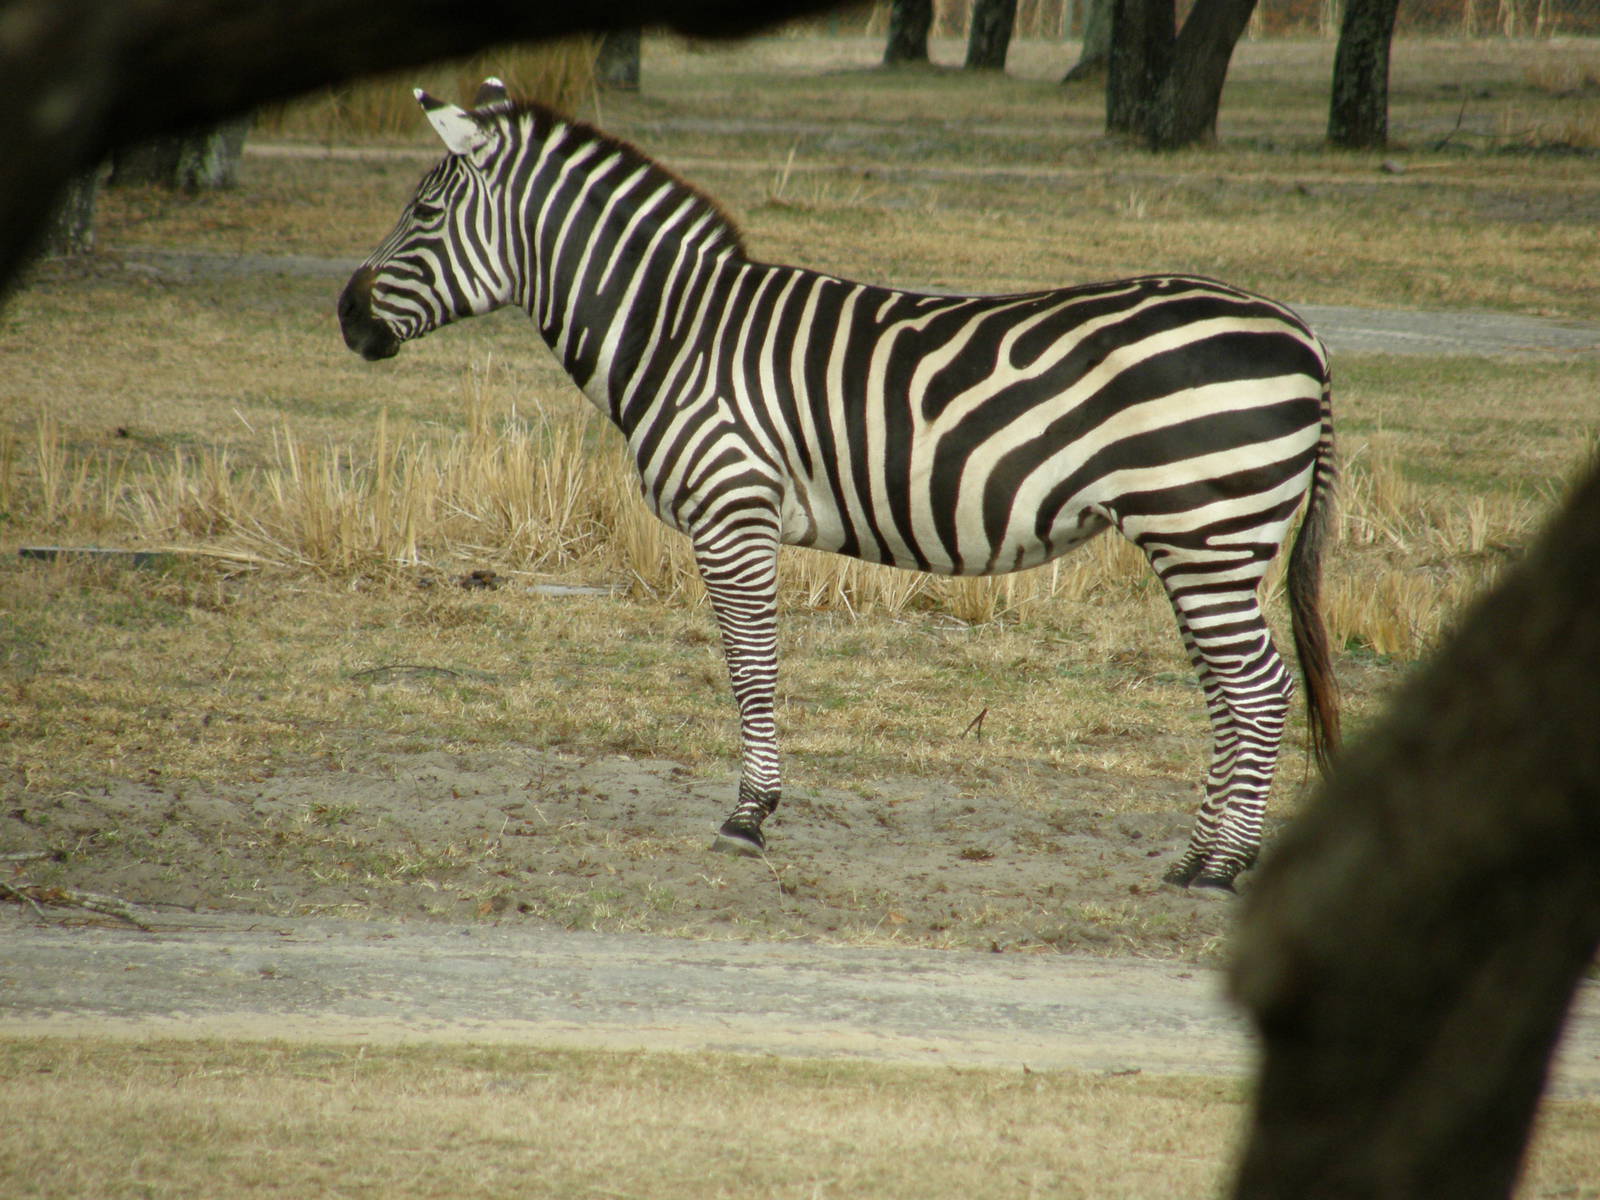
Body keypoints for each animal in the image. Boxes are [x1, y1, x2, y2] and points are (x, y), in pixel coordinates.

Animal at [338, 80, 1340, 890]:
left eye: (423, 213)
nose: (346, 315)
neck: (676, 331)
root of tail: (1301, 330)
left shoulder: (732, 510)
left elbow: (751, 667)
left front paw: (750, 816)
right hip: (1210, 539)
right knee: (1230, 689)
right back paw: (1202, 855)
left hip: (1204, 527)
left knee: (1256, 688)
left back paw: (1217, 869)